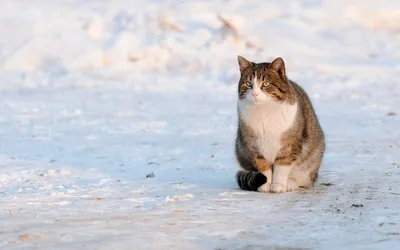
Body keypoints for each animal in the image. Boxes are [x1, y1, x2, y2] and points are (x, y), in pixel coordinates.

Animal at [234, 56, 324, 193]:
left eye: (266, 84)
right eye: (248, 83)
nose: (255, 94)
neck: (264, 111)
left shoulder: (289, 145)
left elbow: (282, 167)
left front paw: (278, 185)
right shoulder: (253, 144)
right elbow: (263, 167)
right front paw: (266, 184)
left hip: (312, 159)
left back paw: (290, 183)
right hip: (240, 148)